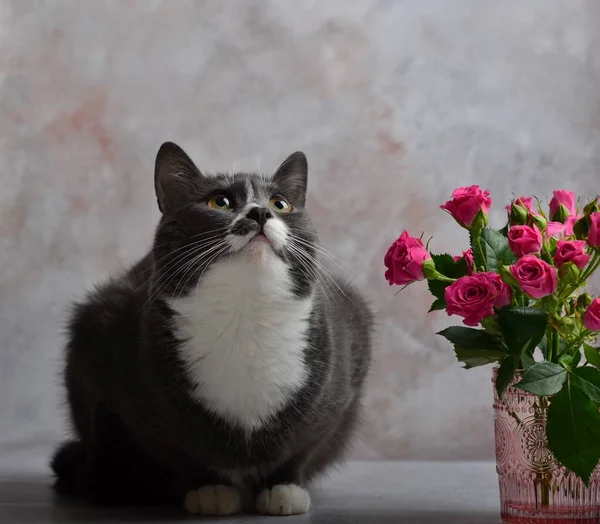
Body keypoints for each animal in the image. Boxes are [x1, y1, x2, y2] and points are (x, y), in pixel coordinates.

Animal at [51, 142, 372, 516]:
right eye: (219, 202)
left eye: (281, 204)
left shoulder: (345, 365)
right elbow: (178, 447)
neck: (245, 315)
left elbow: (303, 445)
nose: (260, 213)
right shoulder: (105, 344)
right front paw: (210, 490)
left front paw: (284, 488)